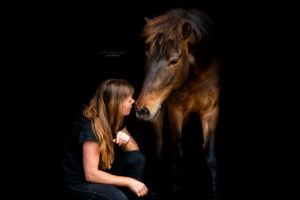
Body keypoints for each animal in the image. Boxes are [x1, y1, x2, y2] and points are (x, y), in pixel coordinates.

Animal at [135, 8, 221, 197]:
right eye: (147, 54)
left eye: (174, 60)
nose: (141, 109)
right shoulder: (175, 111)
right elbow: (176, 155)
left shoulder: (211, 111)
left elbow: (211, 157)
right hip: (159, 113)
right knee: (159, 143)